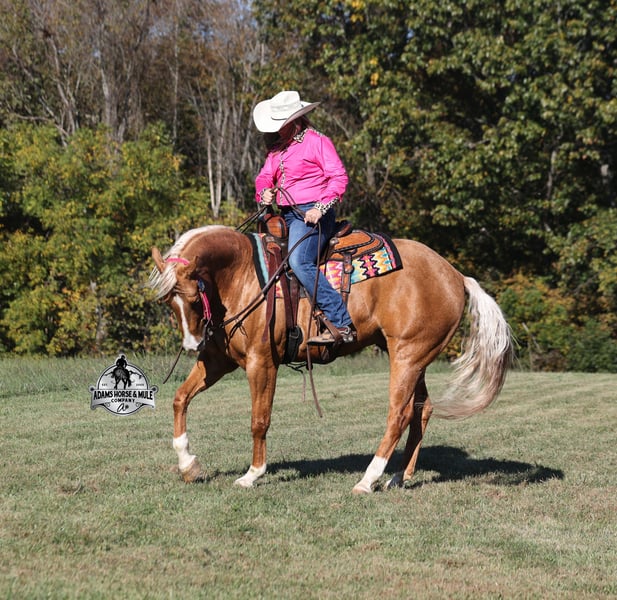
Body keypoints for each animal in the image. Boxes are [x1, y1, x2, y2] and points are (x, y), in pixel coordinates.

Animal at [149, 224, 512, 493]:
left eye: (193, 298)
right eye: (168, 303)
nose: (192, 344)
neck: (243, 274)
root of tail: (455, 275)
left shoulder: (261, 363)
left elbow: (259, 420)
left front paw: (252, 474)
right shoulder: (218, 362)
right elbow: (180, 399)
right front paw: (188, 465)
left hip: (407, 356)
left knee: (399, 413)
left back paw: (368, 480)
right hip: (416, 358)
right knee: (422, 410)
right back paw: (398, 477)